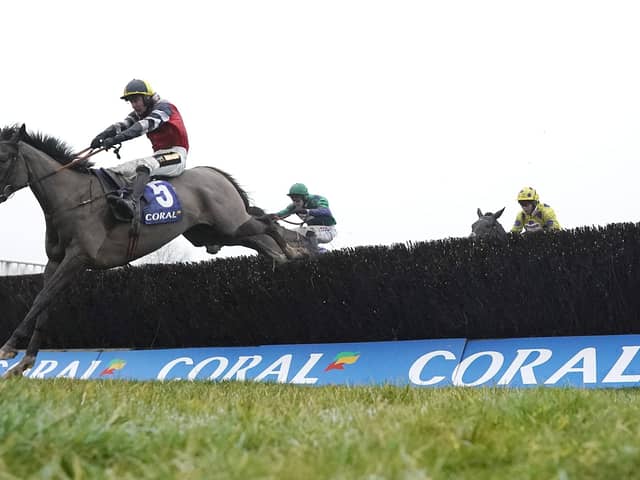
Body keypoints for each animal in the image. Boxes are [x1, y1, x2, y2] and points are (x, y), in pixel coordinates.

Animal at [0, 124, 304, 378]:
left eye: (4, 158)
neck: (74, 199)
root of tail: (214, 173)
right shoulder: (55, 262)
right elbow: (45, 305)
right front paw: (25, 362)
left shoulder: (78, 258)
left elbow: (41, 299)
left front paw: (8, 348)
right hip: (213, 234)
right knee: (258, 238)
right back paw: (283, 257)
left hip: (229, 223)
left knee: (266, 222)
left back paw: (293, 252)